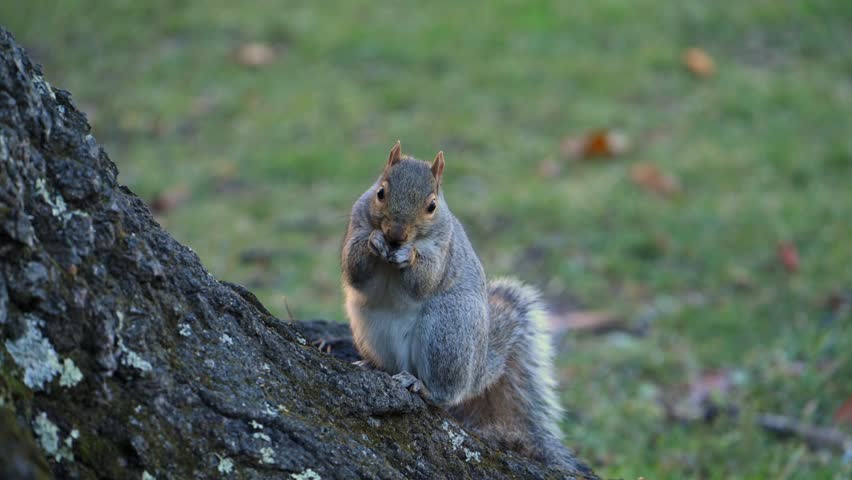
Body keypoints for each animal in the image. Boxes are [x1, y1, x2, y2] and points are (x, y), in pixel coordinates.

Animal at [341, 141, 575, 469]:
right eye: (381, 192)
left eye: (432, 206)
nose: (396, 235)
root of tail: (478, 372)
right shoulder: (356, 223)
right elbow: (354, 268)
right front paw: (374, 242)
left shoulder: (444, 250)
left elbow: (424, 280)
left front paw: (409, 256)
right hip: (369, 329)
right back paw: (371, 365)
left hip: (446, 334)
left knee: (447, 393)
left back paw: (420, 385)